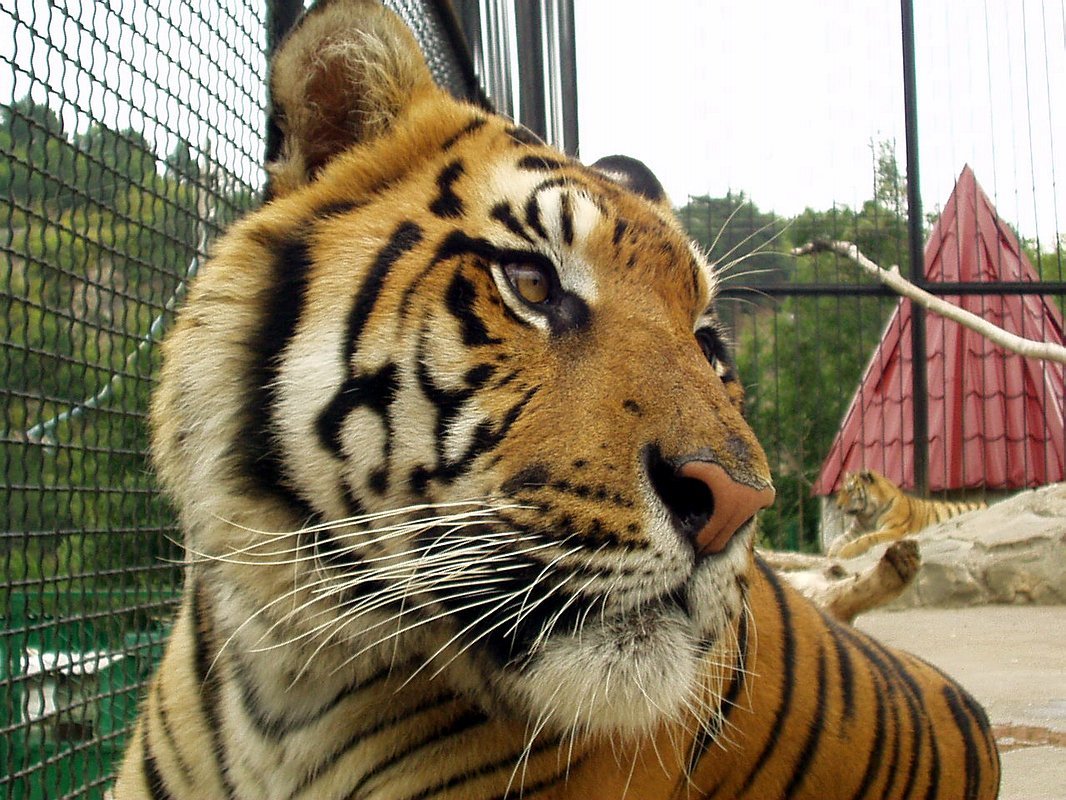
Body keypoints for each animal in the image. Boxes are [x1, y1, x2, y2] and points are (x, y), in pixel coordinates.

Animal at [822, 467, 989, 558]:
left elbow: (868, 538)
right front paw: (831, 553)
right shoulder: (855, 530)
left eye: (850, 490)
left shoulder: (895, 530)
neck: (867, 514)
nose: (837, 506)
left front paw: (845, 552)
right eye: (841, 490)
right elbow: (838, 540)